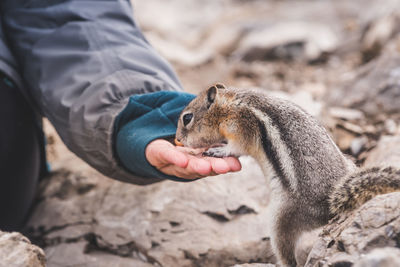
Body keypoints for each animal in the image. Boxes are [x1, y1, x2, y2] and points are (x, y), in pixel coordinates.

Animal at [174, 84, 400, 267]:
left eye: (187, 118)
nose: (177, 140)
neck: (228, 106)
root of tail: (330, 209)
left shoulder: (242, 127)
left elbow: (236, 147)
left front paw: (219, 150)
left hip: (282, 218)